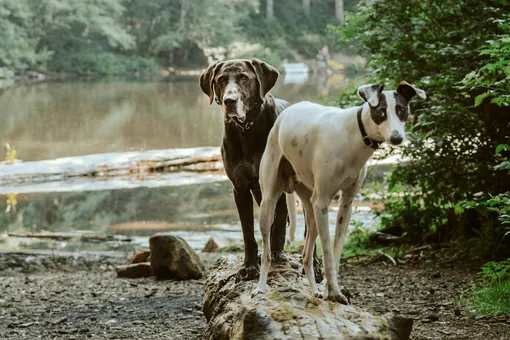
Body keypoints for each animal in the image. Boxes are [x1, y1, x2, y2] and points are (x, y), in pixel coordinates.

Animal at [253, 81, 424, 302]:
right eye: (381, 112)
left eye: (402, 109)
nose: (396, 138)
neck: (353, 136)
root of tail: (284, 114)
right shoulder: (322, 203)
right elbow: (327, 252)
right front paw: (334, 292)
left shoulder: (346, 204)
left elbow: (335, 253)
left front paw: (330, 290)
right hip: (269, 204)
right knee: (266, 253)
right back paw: (260, 287)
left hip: (311, 212)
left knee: (306, 256)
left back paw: (314, 290)